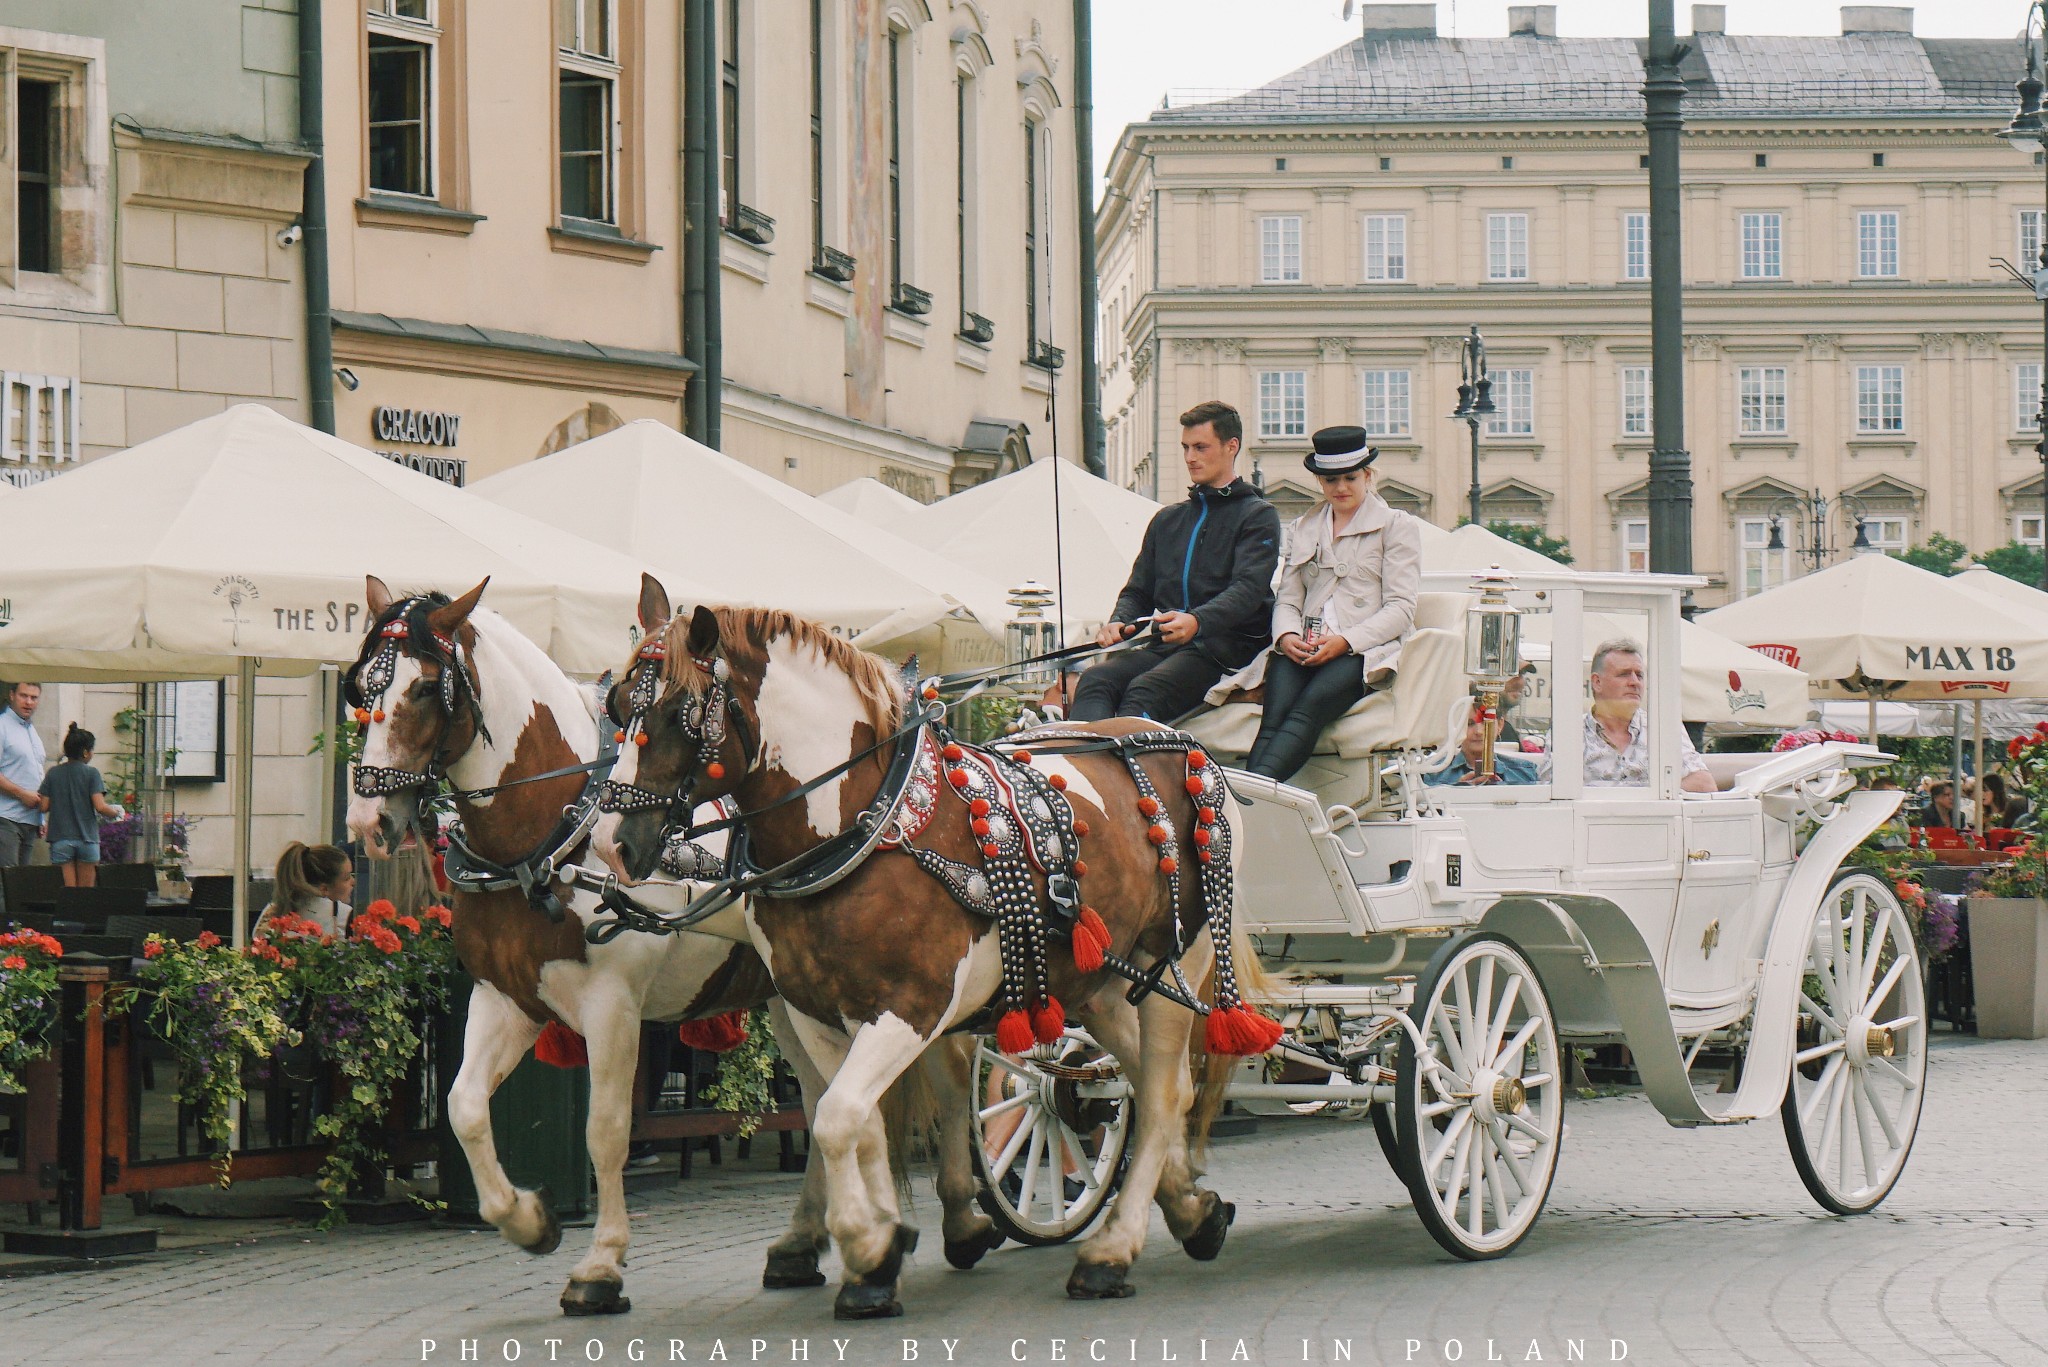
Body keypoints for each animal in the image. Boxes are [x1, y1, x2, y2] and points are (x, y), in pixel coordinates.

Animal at [342, 582, 999, 1319]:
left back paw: (960, 1217)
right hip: (792, 1000)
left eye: (428, 687)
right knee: (824, 1094)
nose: (368, 822)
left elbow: (606, 1131)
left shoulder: (611, 1008)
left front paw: (600, 1265)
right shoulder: (503, 997)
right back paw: (811, 1239)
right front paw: (527, 1220)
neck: (548, 835)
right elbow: (464, 1109)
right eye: (360, 688)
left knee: (950, 1071)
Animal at [593, 577, 1245, 1311]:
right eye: (615, 705)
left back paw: (1113, 1249)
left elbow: (839, 1117)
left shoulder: (911, 1006)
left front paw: (867, 1245)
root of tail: (1180, 742)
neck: (862, 823)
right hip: (1102, 983)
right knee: (1145, 1084)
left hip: (1175, 961)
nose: (611, 845)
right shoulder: (820, 1013)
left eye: (677, 714)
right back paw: (1192, 1208)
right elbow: (851, 1121)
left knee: (1162, 1096)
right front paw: (876, 1253)